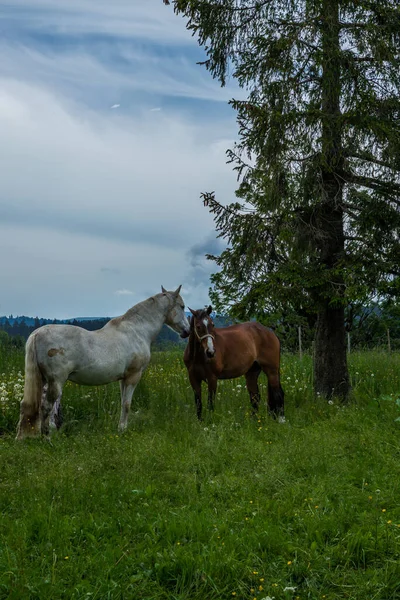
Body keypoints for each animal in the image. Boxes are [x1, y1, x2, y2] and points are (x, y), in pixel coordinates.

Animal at [15, 286, 191, 440]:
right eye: (182, 306)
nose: (187, 331)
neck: (137, 331)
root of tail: (37, 333)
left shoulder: (123, 379)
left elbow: (122, 403)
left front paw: (120, 428)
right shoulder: (133, 376)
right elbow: (127, 404)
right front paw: (122, 430)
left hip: (44, 381)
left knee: (27, 406)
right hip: (55, 382)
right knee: (46, 407)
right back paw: (47, 438)